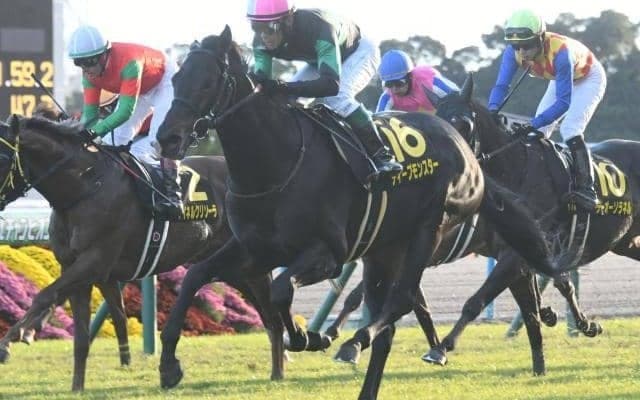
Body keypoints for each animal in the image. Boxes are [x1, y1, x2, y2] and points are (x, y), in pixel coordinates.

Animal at [0, 115, 285, 391]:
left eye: (3, 157)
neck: (85, 186)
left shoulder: (95, 262)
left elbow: (44, 296)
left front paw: (8, 343)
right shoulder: (73, 266)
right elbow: (79, 335)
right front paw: (77, 388)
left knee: (272, 315)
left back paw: (278, 370)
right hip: (231, 268)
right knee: (267, 315)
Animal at [155, 26, 560, 399]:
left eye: (208, 82)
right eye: (175, 78)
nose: (167, 138)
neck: (276, 163)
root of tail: (469, 154)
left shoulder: (328, 254)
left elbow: (282, 289)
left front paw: (310, 336)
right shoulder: (254, 248)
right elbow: (196, 276)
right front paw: (169, 365)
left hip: (429, 229)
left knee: (401, 300)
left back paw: (358, 341)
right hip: (384, 250)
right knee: (392, 322)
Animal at [422, 74, 640, 368]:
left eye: (464, 123)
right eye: (439, 121)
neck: (515, 170)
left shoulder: (516, 255)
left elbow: (477, 301)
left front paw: (441, 348)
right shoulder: (516, 252)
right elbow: (541, 298)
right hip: (626, 243)